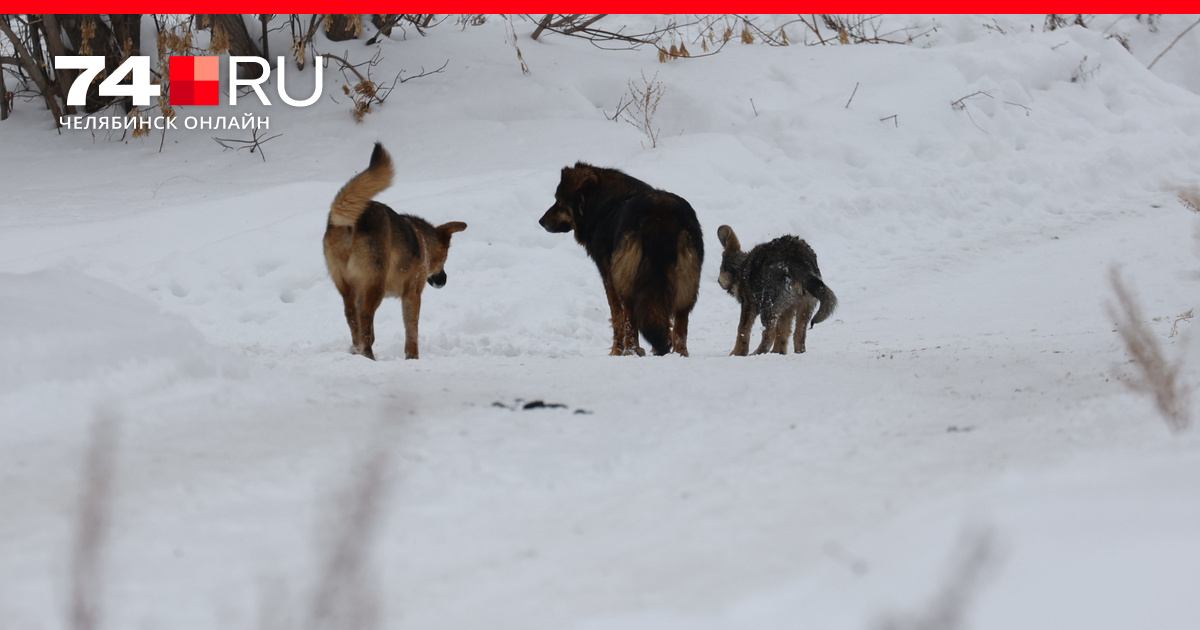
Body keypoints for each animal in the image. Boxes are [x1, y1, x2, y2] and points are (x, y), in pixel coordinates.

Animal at [324, 142, 468, 357]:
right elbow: (411, 333)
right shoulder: (412, 294)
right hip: (375, 285)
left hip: (347, 286)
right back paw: (368, 355)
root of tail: (350, 220)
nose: (444, 280)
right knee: (365, 317)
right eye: (444, 259)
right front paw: (412, 358)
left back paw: (358, 351)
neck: (424, 243)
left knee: (351, 316)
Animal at [537, 163, 700, 352]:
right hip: (686, 283)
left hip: (627, 278)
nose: (541, 221)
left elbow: (617, 316)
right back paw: (678, 353)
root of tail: (661, 214)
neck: (600, 203)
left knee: (630, 317)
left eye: (559, 199)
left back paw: (632, 351)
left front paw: (617, 350)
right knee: (680, 324)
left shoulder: (608, 276)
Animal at [715, 224, 840, 352]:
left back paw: (758, 353)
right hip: (806, 305)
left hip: (768, 307)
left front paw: (737, 352)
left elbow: (743, 330)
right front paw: (779, 352)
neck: (741, 268)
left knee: (770, 334)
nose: (718, 281)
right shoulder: (787, 309)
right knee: (799, 335)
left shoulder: (749, 304)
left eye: (721, 268)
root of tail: (797, 261)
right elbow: (783, 334)